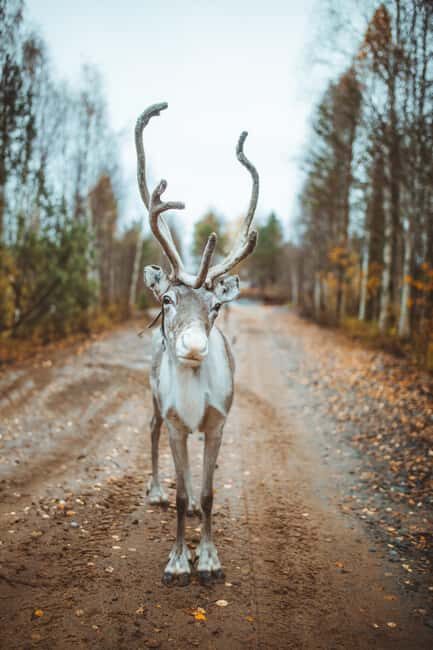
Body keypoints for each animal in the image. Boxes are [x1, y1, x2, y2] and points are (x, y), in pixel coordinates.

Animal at [135, 103, 259, 586]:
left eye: (216, 306)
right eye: (167, 300)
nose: (193, 345)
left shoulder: (216, 423)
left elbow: (205, 495)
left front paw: (207, 560)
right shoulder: (175, 422)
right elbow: (182, 493)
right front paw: (176, 562)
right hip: (154, 399)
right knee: (150, 432)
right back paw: (154, 490)